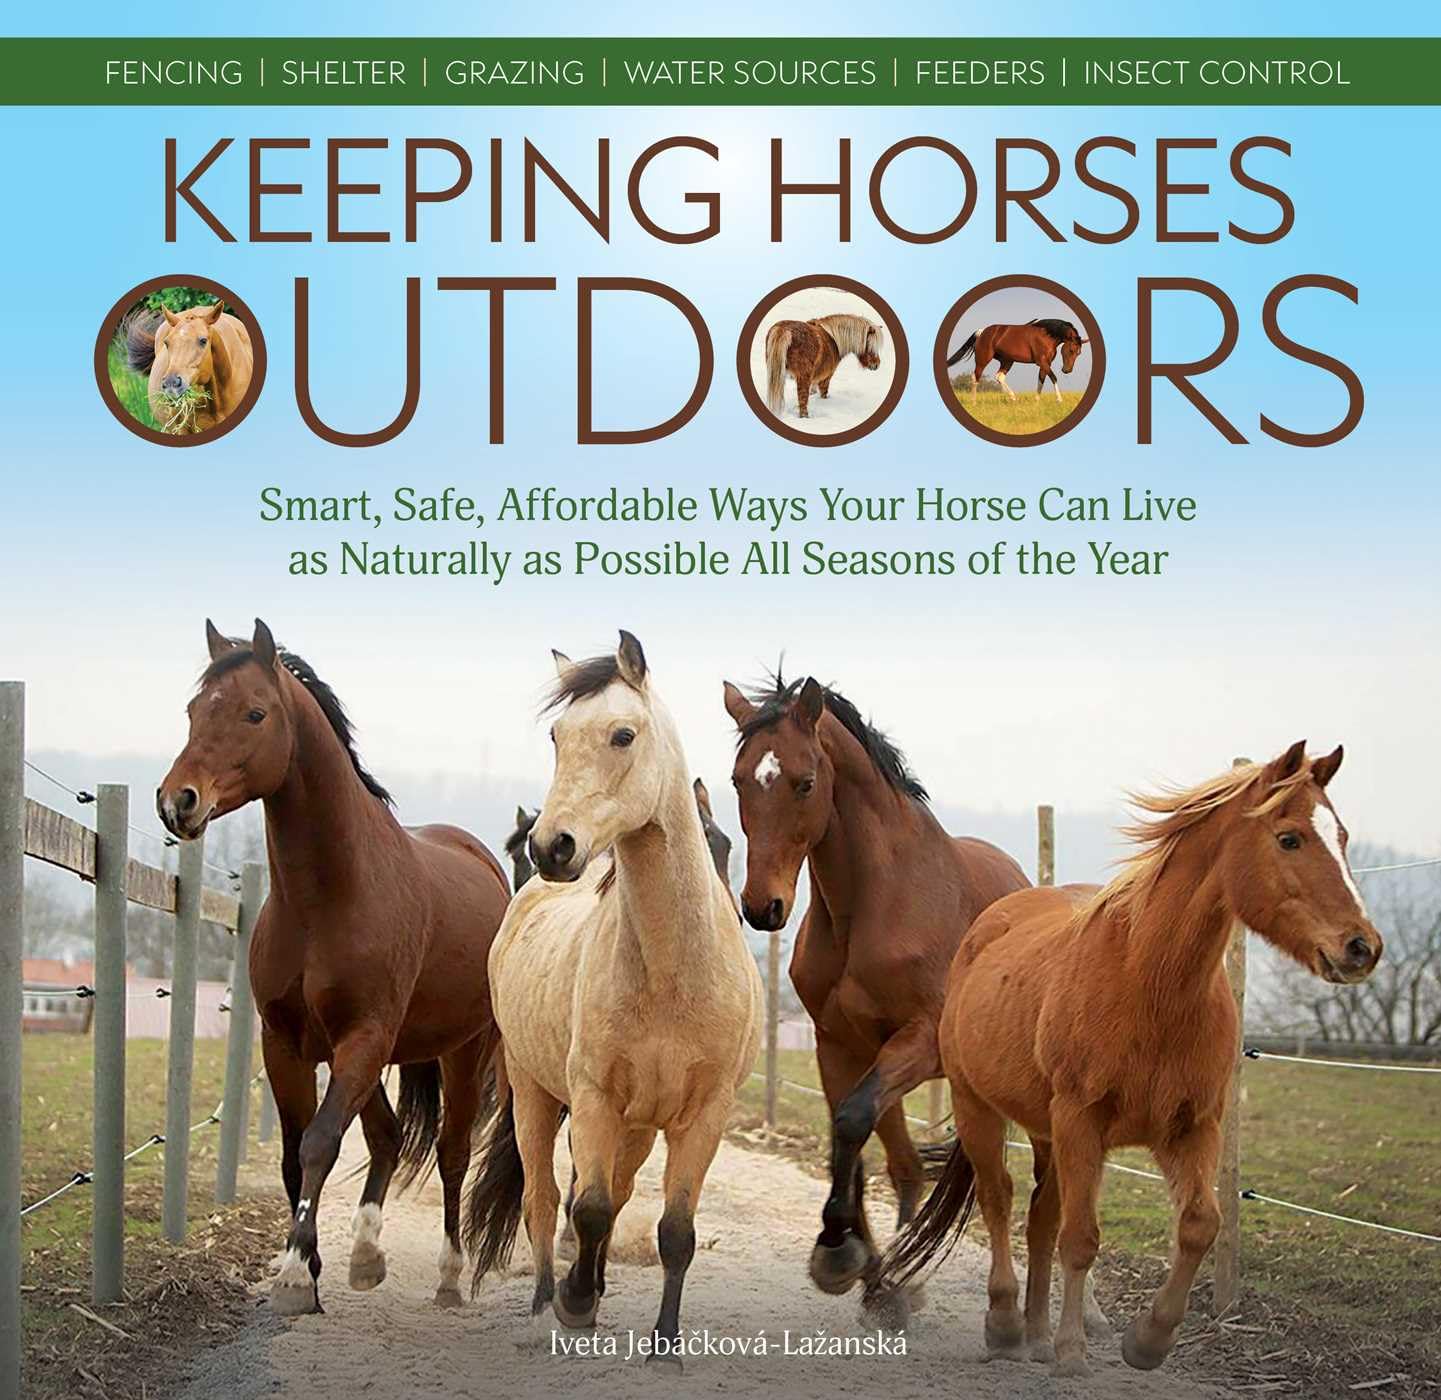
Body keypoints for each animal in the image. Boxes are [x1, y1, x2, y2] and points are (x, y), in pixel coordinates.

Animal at [157, 619, 510, 1315]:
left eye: (255, 712)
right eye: (192, 711)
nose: (177, 800)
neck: (327, 899)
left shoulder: (361, 1038)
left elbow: (321, 1143)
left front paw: (297, 1275)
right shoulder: (286, 1044)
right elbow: (297, 1155)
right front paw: (311, 1266)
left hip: (464, 1052)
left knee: (453, 1153)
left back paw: (449, 1277)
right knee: (389, 1135)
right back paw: (366, 1255)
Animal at [465, 633, 762, 1364]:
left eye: (622, 734)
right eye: (556, 734)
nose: (552, 845)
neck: (672, 972)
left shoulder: (699, 1116)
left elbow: (673, 1229)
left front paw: (665, 1342)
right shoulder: (594, 1096)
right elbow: (588, 1207)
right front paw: (573, 1303)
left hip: (636, 1124)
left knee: (612, 1193)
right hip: (534, 1094)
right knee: (545, 1200)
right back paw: (547, 1301)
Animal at [723, 674, 1029, 1323]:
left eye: (805, 781)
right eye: (738, 779)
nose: (763, 907)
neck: (875, 902)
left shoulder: (918, 1042)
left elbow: (850, 1121)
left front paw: (841, 1248)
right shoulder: (840, 1047)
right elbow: (852, 1138)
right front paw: (863, 1268)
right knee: (909, 1166)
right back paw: (898, 1274)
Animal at [873, 742, 1383, 1377]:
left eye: (1341, 836)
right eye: (1289, 838)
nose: (1361, 947)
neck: (1148, 983)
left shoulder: (1191, 1127)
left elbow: (1198, 1225)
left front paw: (1148, 1340)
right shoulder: (1081, 1121)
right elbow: (1081, 1238)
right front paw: (1072, 1351)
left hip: (1047, 1133)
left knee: (1040, 1217)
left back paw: (1035, 1332)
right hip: (981, 1110)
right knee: (999, 1200)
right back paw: (1006, 1324)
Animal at [947, 318, 1086, 402]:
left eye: (1079, 353)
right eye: (1071, 350)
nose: (1067, 370)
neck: (1046, 335)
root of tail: (982, 332)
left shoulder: (1045, 364)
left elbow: (1041, 380)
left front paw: (1036, 402)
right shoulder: (1042, 362)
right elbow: (1053, 377)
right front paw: (1059, 400)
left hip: (1007, 361)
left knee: (999, 377)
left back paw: (1013, 398)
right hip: (983, 360)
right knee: (975, 377)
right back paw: (974, 402)